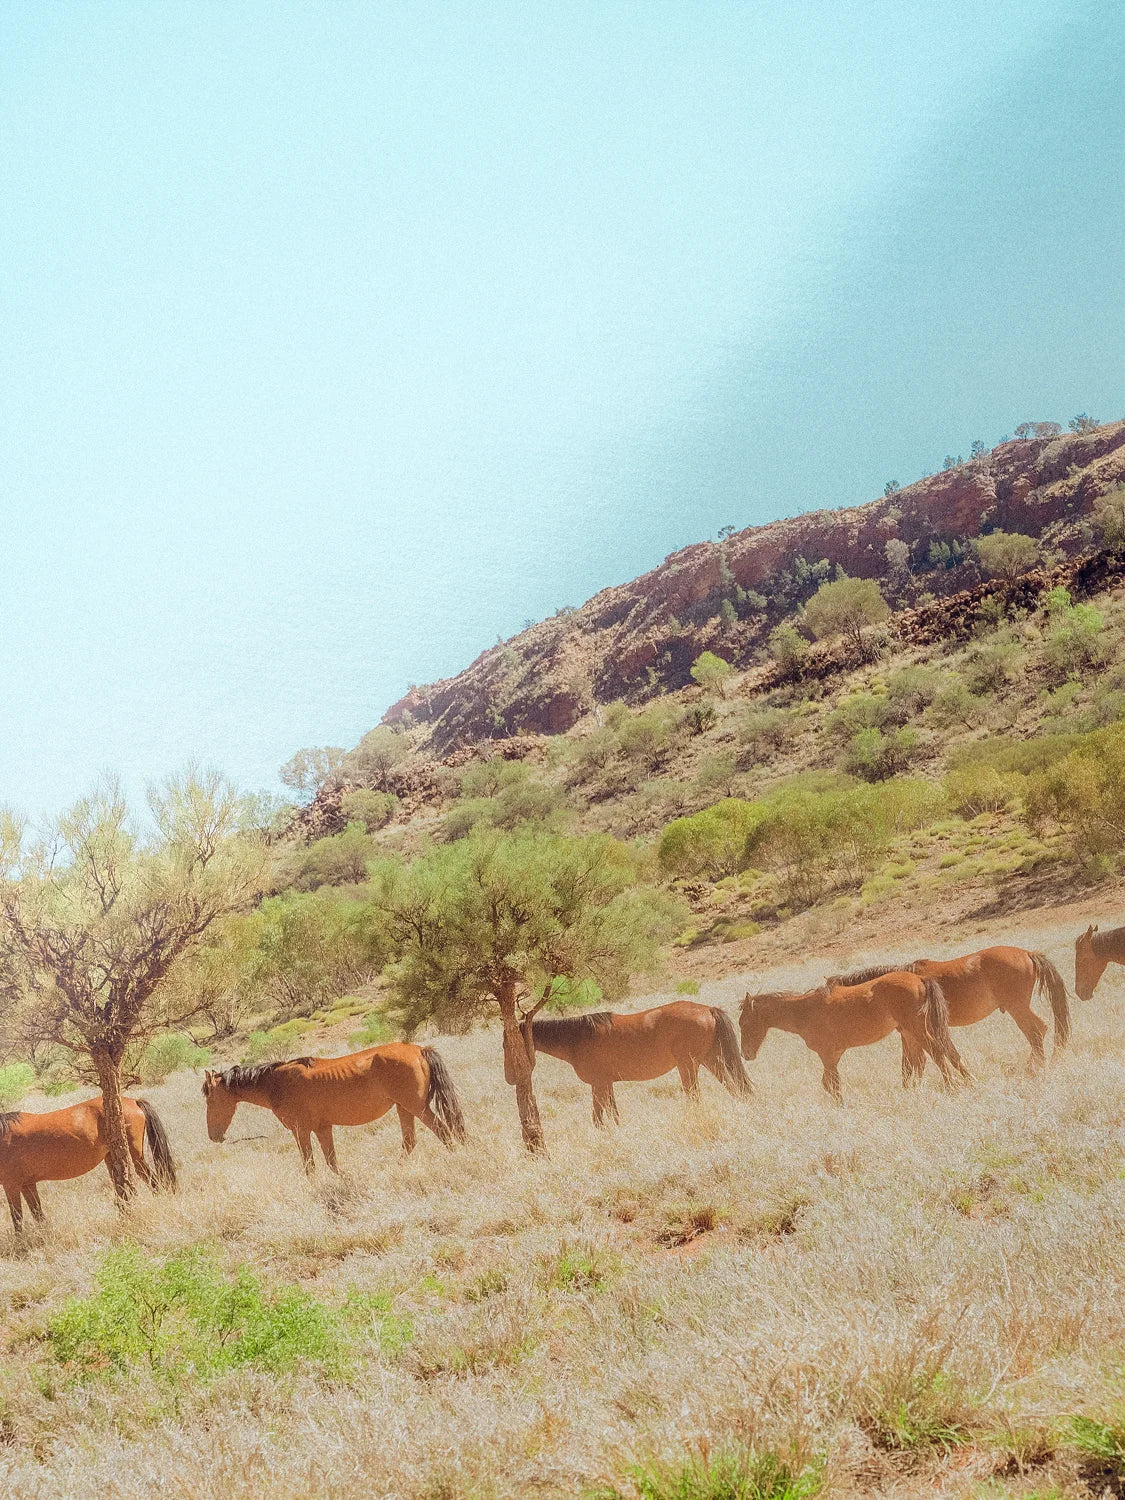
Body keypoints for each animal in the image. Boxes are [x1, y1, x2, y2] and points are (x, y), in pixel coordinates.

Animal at [1, 1095, 176, 1233]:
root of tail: (133, 1101)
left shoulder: (11, 1186)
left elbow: (17, 1219)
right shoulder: (27, 1185)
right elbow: (38, 1214)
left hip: (134, 1157)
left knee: (153, 1182)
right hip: (111, 1158)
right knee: (122, 1190)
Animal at [202, 1042, 466, 1173]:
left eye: (210, 1100)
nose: (213, 1137)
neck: (276, 1083)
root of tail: (419, 1049)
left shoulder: (301, 1132)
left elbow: (310, 1166)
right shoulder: (322, 1129)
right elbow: (332, 1163)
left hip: (417, 1107)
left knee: (443, 1132)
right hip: (404, 1108)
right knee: (411, 1141)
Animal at [504, 1001, 752, 1126]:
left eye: (508, 1045)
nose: (510, 1078)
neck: (578, 1036)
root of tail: (707, 1009)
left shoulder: (598, 1085)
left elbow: (597, 1118)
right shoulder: (606, 1085)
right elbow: (613, 1115)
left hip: (688, 1066)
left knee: (695, 1096)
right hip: (712, 1059)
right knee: (735, 1087)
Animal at [738, 972, 962, 1103]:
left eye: (744, 1023)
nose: (746, 1054)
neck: (804, 1011)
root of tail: (919, 979)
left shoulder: (827, 1055)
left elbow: (833, 1085)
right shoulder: (834, 1056)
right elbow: (828, 1084)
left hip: (916, 1029)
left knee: (937, 1053)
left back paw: (951, 1087)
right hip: (909, 1032)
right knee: (923, 1059)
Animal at [828, 946, 1070, 1070]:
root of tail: (1027, 953)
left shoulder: (916, 1031)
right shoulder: (909, 1033)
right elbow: (911, 1065)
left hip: (1016, 1007)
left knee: (1036, 1031)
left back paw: (1035, 1068)